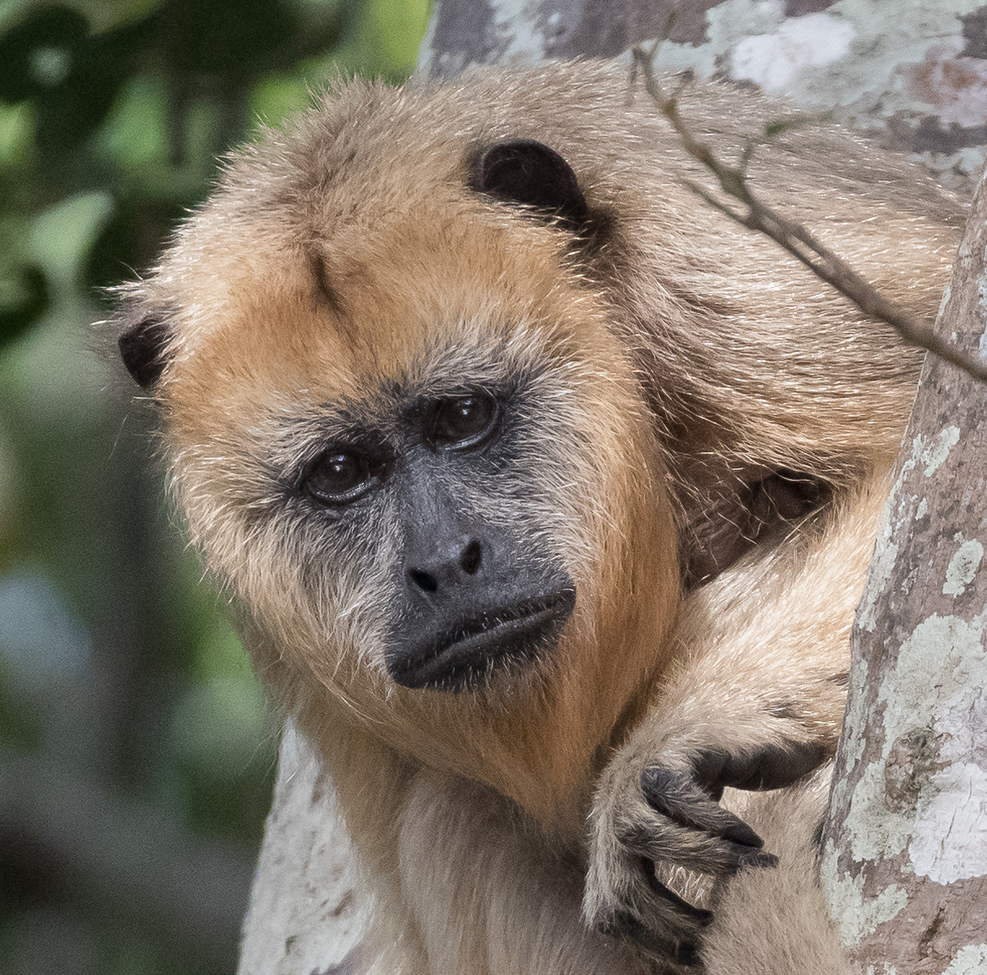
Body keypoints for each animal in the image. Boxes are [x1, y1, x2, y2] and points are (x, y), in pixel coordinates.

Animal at [114, 59, 962, 973]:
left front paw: (695, 721)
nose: (445, 562)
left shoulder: (731, 270)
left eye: (460, 416)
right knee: (449, 821)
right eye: (339, 472)